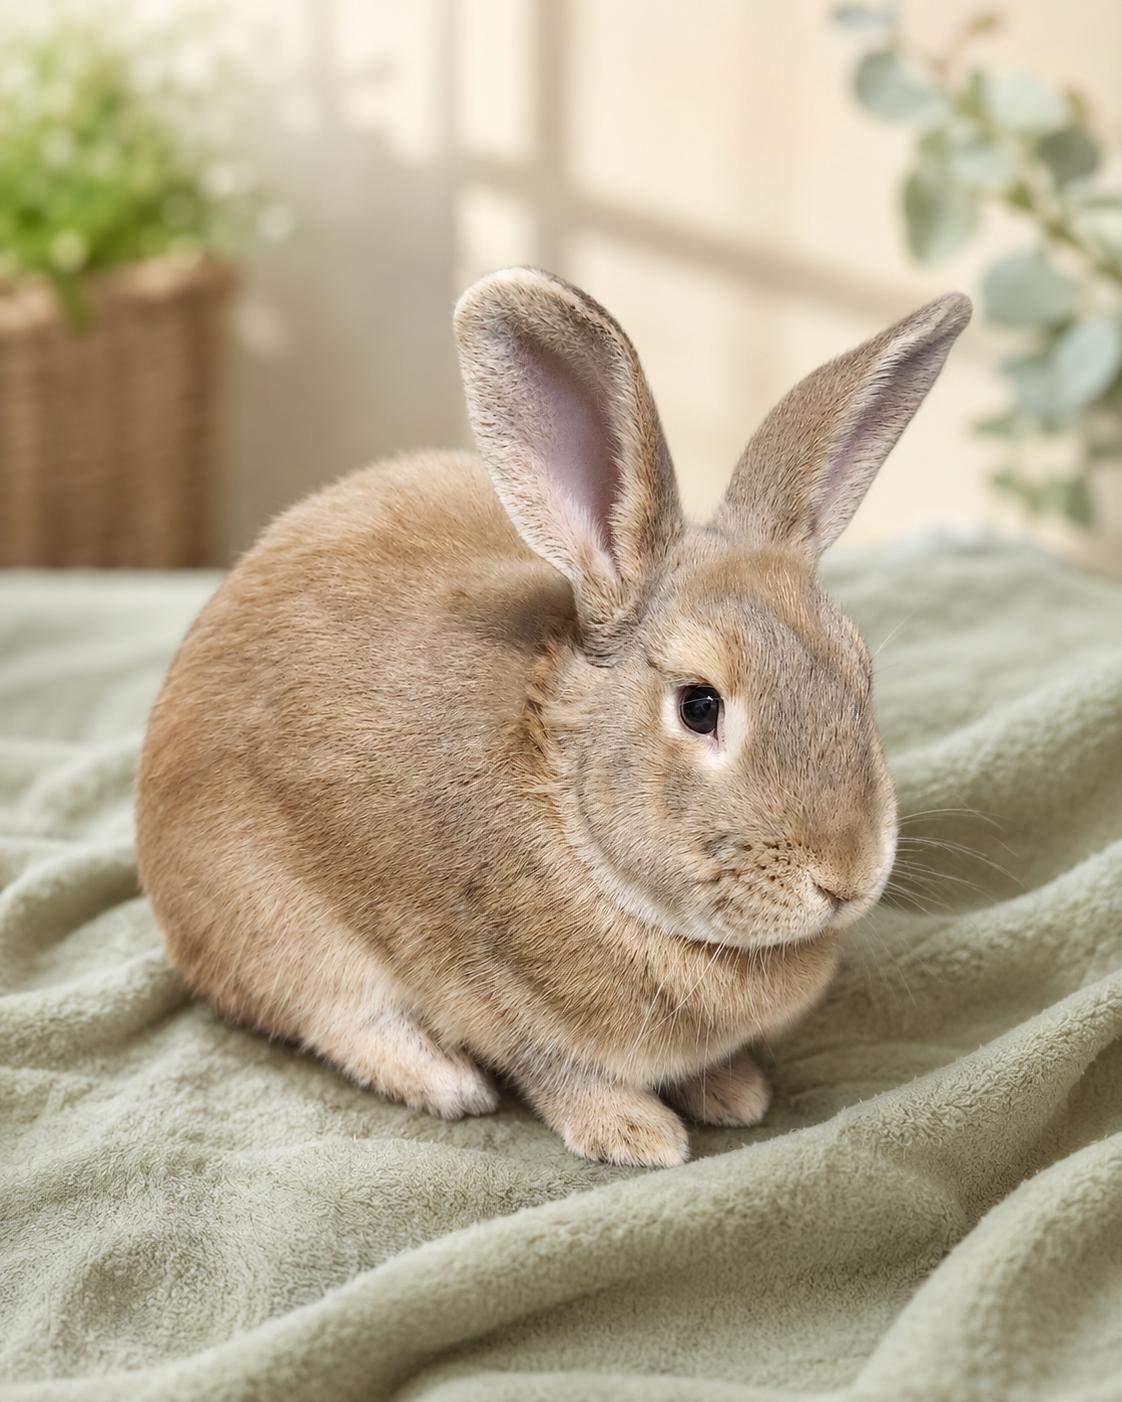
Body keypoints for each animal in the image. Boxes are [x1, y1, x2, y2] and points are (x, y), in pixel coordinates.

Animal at [136, 268, 970, 1167]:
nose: (848, 876)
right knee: (330, 1015)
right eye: (699, 706)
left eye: (861, 676)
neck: (568, 807)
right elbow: (556, 1069)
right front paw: (638, 1134)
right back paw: (444, 1081)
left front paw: (733, 1092)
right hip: (273, 924)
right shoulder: (491, 989)